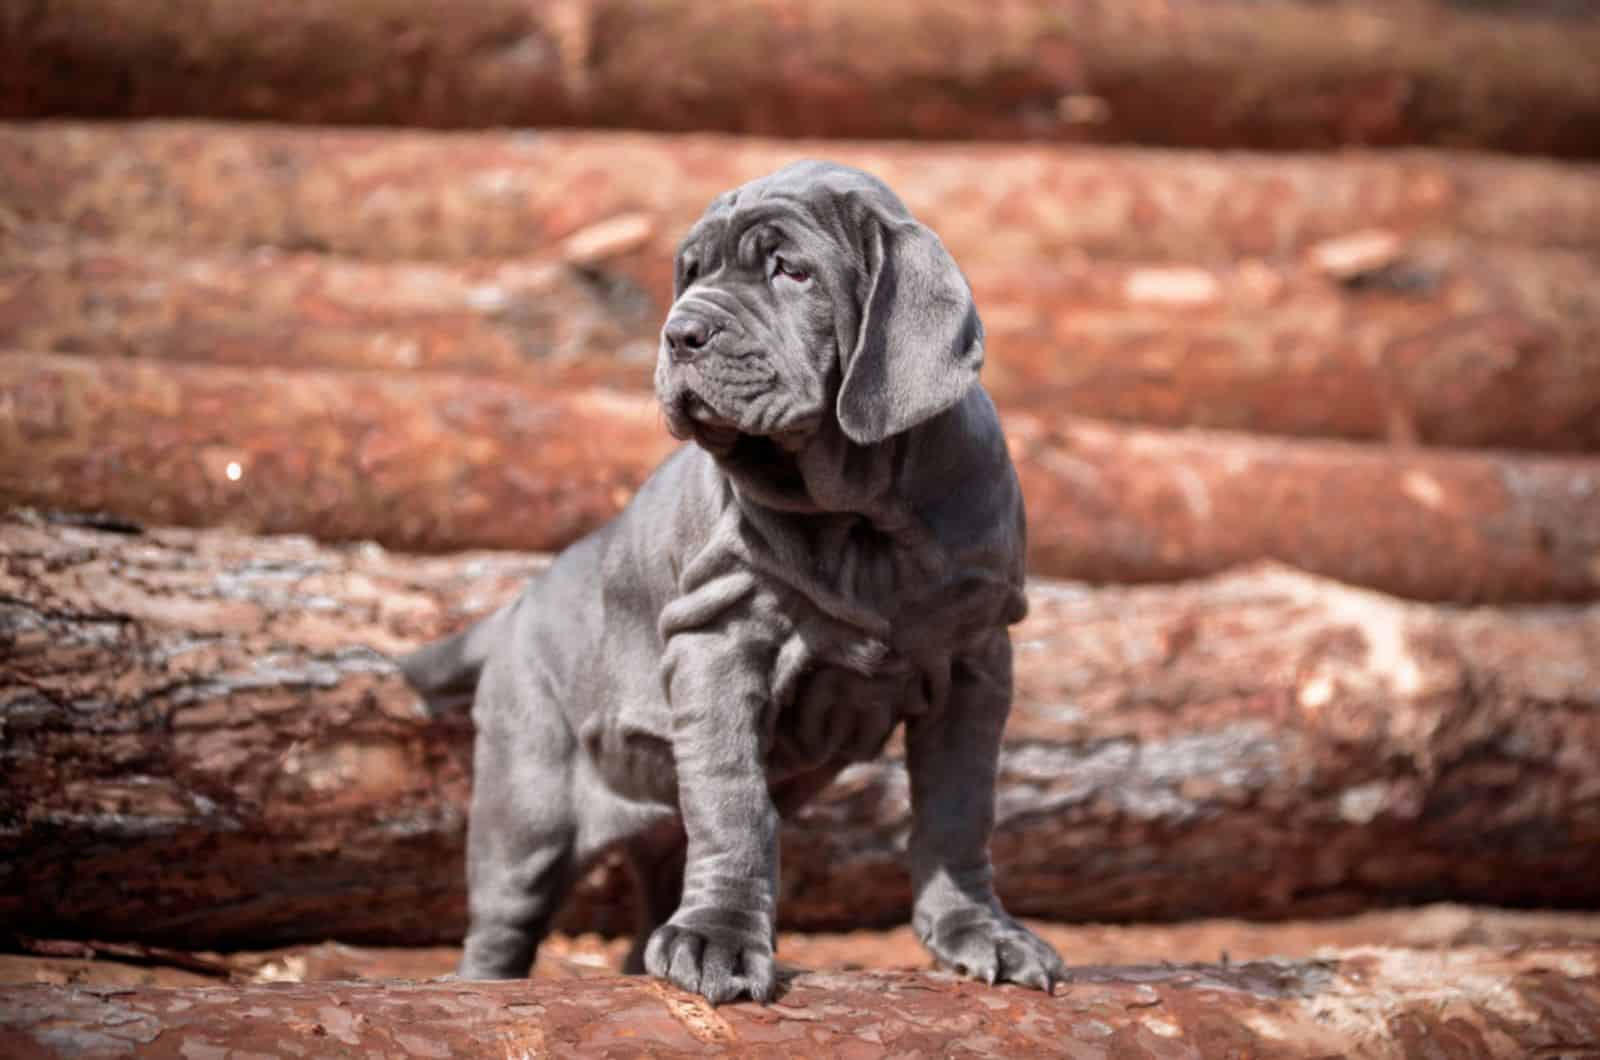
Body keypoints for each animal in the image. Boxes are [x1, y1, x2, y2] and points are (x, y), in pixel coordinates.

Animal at [406, 160, 1068, 1005]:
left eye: (790, 269)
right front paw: (718, 940)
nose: (680, 332)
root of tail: (515, 606)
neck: (862, 518)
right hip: (526, 809)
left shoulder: (977, 656)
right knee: (500, 925)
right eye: (690, 274)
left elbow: (959, 805)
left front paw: (982, 933)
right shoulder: (719, 639)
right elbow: (735, 803)